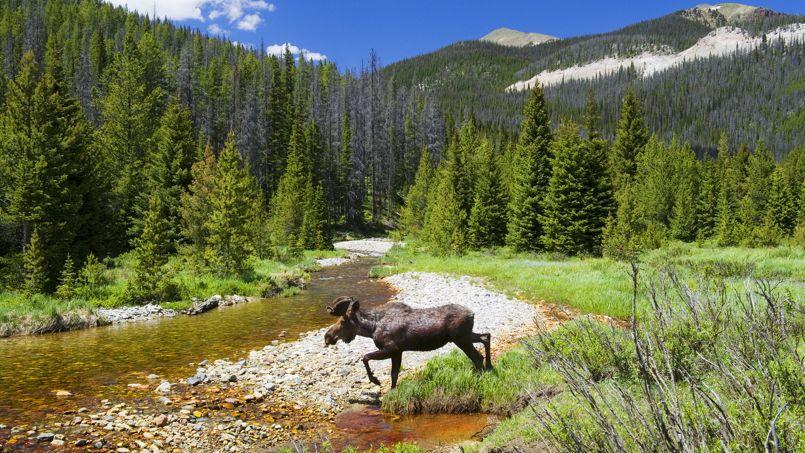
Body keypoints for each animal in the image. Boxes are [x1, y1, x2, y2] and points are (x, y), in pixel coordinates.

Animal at [320, 294, 490, 386]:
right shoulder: (398, 352)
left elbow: (365, 357)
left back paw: (481, 378)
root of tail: (472, 314)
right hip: (465, 336)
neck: (371, 328)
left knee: (477, 356)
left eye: (343, 321)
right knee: (486, 336)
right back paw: (489, 367)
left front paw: (375, 380)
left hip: (460, 339)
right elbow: (394, 375)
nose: (327, 337)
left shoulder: (392, 349)